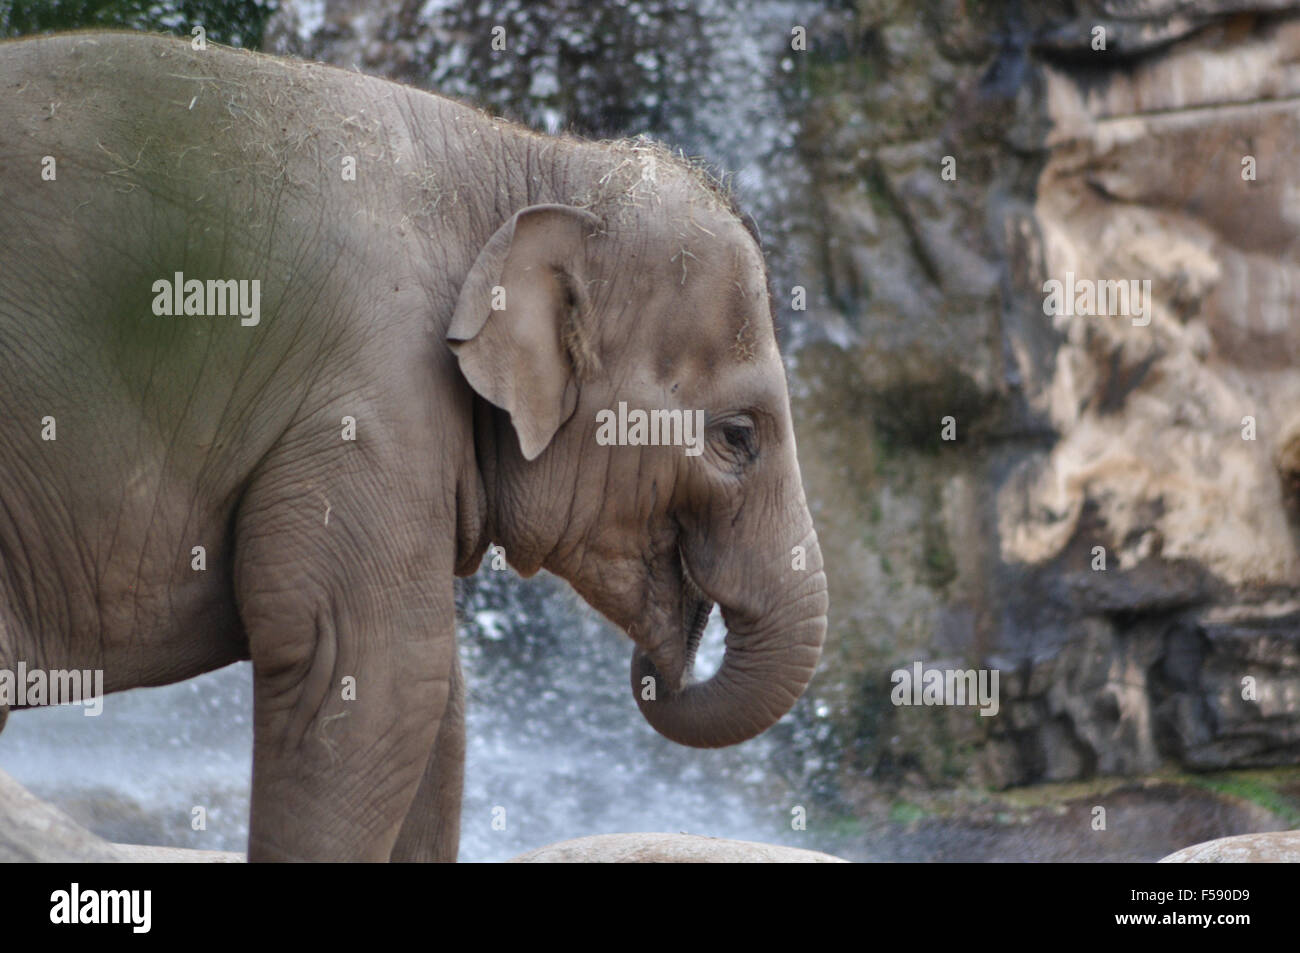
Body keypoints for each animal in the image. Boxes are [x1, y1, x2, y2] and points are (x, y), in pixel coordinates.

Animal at [0, 33, 832, 858]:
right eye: (737, 437)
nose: (666, 661)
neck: (522, 162)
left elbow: (437, 702)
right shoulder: (368, 400)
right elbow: (380, 671)